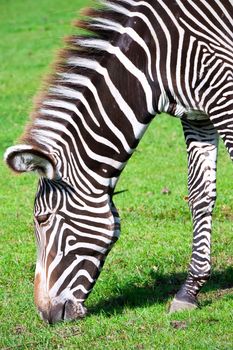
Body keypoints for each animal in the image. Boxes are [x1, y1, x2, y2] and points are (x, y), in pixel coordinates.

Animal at [3, 0, 233, 324]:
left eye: (42, 219)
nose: (44, 315)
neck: (151, 61)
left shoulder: (225, 95)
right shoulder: (196, 115)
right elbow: (200, 195)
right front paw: (189, 291)